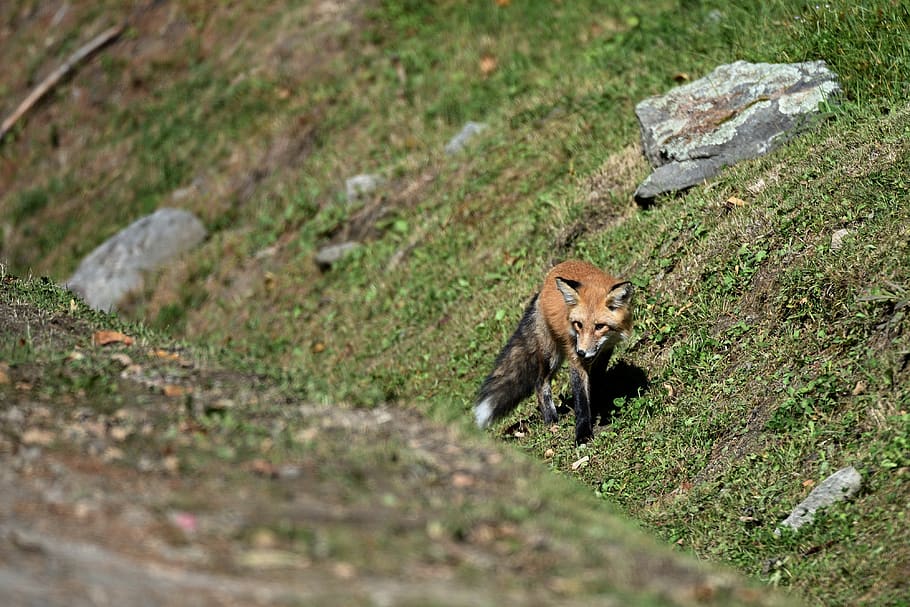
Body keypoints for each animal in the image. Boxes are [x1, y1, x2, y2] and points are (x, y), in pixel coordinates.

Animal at [478, 258, 636, 444]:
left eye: (599, 327)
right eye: (578, 324)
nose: (581, 352)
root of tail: (546, 282)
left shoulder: (605, 351)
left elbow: (596, 383)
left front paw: (599, 408)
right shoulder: (576, 361)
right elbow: (581, 401)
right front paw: (583, 434)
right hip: (552, 355)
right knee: (540, 384)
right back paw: (551, 420)